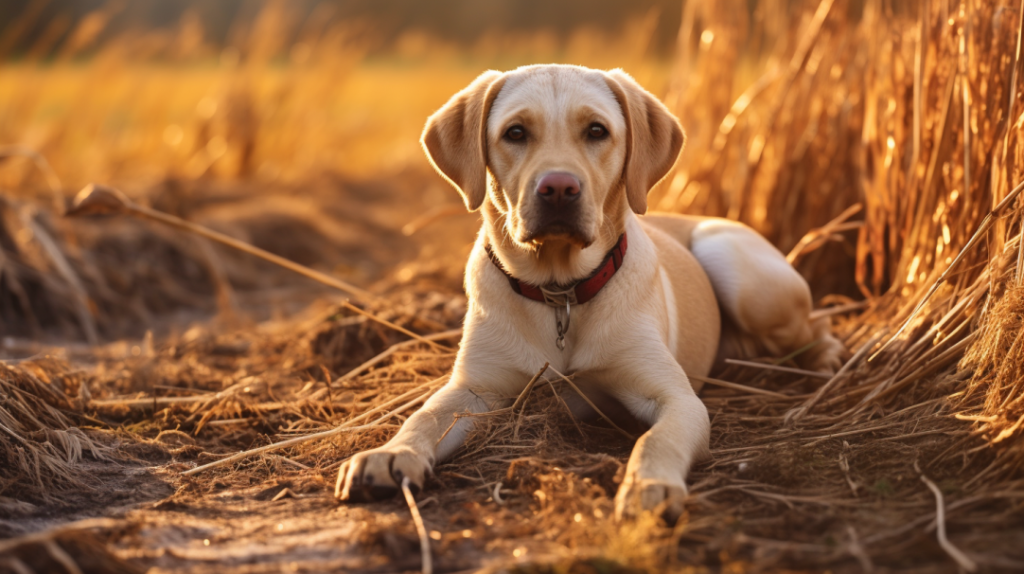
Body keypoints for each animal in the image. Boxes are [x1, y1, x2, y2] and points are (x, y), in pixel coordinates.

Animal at [339, 64, 843, 517]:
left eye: (597, 131)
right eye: (515, 133)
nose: (559, 188)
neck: (561, 292)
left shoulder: (676, 399)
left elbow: (656, 437)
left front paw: (649, 484)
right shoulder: (474, 389)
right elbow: (424, 415)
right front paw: (391, 453)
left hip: (736, 267)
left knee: (813, 324)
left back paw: (827, 359)